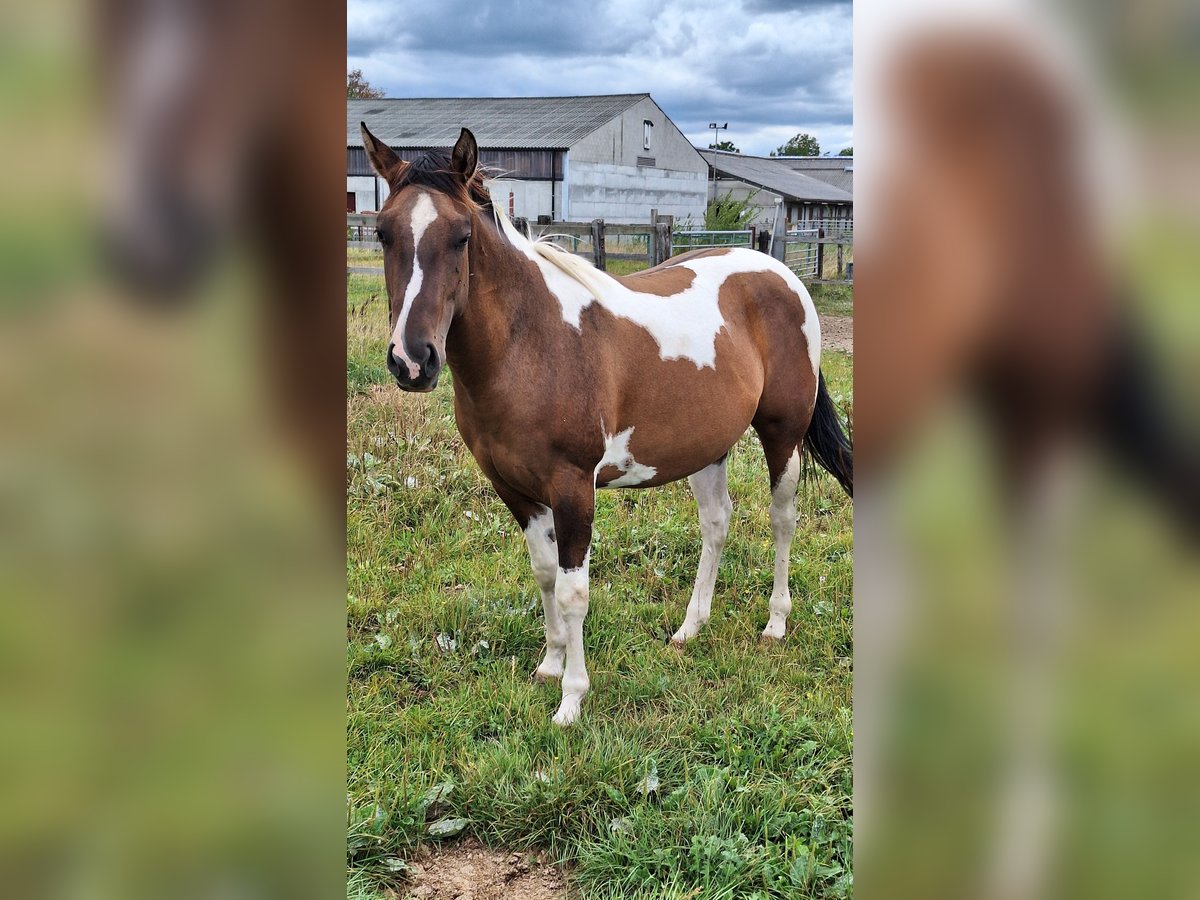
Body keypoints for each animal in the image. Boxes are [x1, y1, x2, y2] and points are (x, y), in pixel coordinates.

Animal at [361, 123, 853, 726]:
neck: (532, 343)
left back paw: (776, 623)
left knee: (783, 519)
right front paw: (549, 665)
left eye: (461, 236)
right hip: (706, 446)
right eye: (383, 233)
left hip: (783, 433)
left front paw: (571, 700)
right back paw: (690, 628)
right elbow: (545, 574)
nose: (412, 361)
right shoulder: (515, 490)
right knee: (716, 523)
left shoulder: (574, 488)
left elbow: (574, 592)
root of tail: (783, 274)